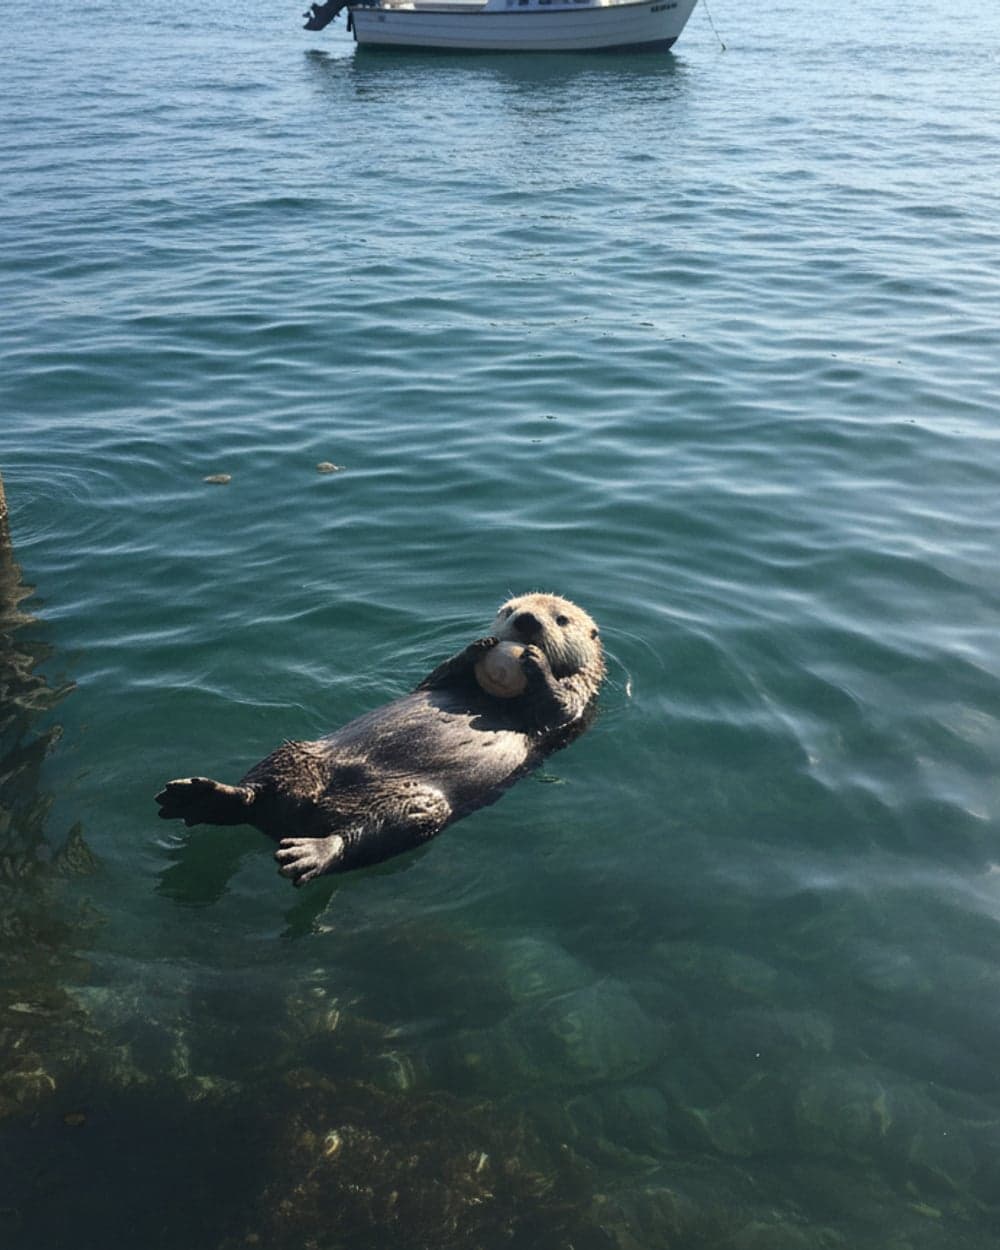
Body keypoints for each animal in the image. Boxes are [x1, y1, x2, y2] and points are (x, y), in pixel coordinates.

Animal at [155, 593, 604, 887]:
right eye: (510, 610)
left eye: (561, 619)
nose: (526, 621)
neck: (491, 696)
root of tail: (293, 819)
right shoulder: (440, 680)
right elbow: (439, 673)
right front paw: (480, 645)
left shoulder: (578, 704)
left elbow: (558, 705)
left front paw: (535, 662)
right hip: (295, 755)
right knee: (255, 793)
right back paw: (199, 797)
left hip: (415, 807)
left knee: (360, 838)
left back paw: (308, 855)